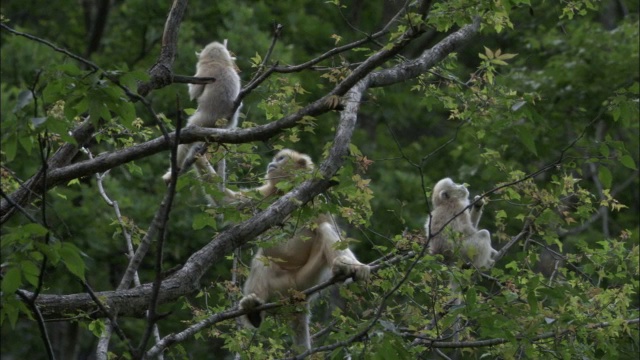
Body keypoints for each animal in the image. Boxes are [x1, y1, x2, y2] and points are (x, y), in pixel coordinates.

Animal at [161, 41, 241, 184]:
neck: (219, 63)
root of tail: (222, 120)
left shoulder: (205, 70)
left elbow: (195, 92)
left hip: (203, 120)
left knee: (186, 140)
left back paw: (171, 174)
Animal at [234, 148, 370, 350]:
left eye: (281, 159)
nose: (271, 164)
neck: (290, 191)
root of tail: (298, 296)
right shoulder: (267, 193)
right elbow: (227, 201)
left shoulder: (317, 199)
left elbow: (332, 228)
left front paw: (356, 266)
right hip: (281, 284)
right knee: (261, 259)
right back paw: (253, 311)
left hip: (308, 280)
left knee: (324, 229)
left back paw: (345, 267)